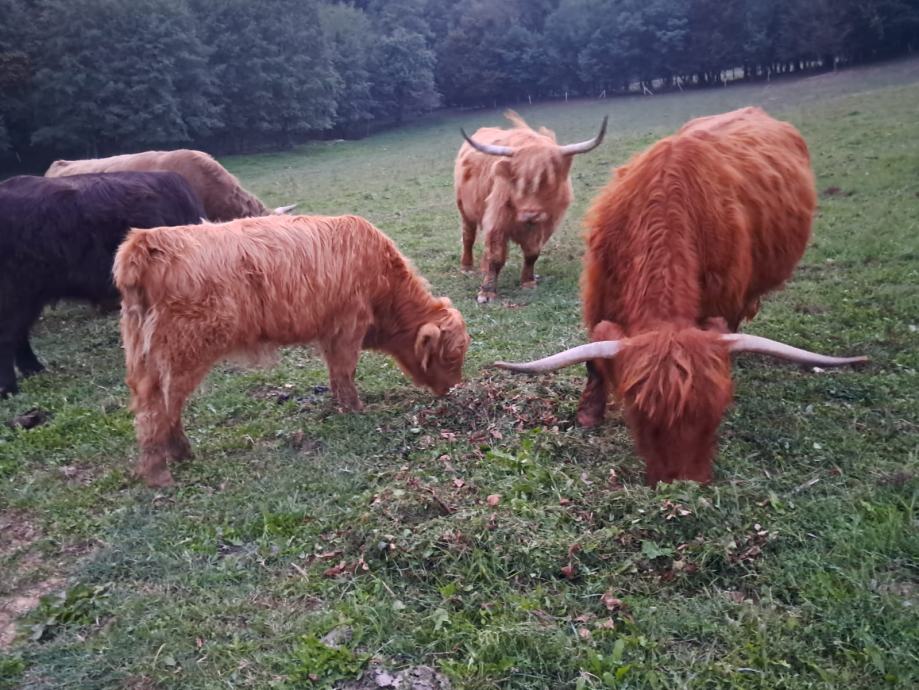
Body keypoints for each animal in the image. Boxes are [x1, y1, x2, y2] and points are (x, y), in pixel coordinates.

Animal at [0, 172, 205, 397]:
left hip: (31, 296)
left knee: (19, 333)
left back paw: (34, 369)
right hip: (16, 294)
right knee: (8, 335)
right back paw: (8, 387)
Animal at [114, 214, 471, 487]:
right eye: (451, 356)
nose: (453, 389)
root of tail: (146, 242)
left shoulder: (331, 332)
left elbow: (337, 374)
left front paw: (340, 406)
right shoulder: (348, 326)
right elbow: (346, 370)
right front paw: (356, 409)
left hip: (144, 358)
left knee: (156, 403)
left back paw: (178, 455)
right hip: (182, 351)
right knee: (159, 409)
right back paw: (162, 474)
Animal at [455, 111, 607, 303]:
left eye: (549, 179)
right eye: (516, 180)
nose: (530, 215)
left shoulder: (544, 224)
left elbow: (532, 253)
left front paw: (528, 282)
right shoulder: (497, 220)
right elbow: (495, 256)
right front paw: (487, 292)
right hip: (464, 210)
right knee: (468, 236)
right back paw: (466, 267)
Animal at [494, 107, 867, 485]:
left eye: (718, 411)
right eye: (639, 413)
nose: (682, 481)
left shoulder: (725, 298)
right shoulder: (600, 296)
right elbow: (595, 360)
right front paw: (587, 415)